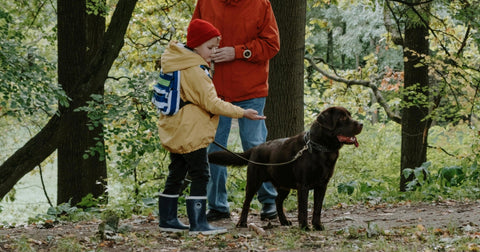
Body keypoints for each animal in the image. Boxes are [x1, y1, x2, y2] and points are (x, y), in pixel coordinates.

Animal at [208, 106, 362, 230]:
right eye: (342, 117)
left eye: (349, 115)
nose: (361, 124)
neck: (320, 148)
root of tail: (255, 149)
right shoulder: (303, 185)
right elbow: (303, 208)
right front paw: (305, 227)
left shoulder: (322, 185)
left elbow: (317, 208)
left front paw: (317, 226)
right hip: (254, 182)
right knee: (246, 203)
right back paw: (242, 223)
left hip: (284, 185)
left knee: (277, 201)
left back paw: (284, 221)